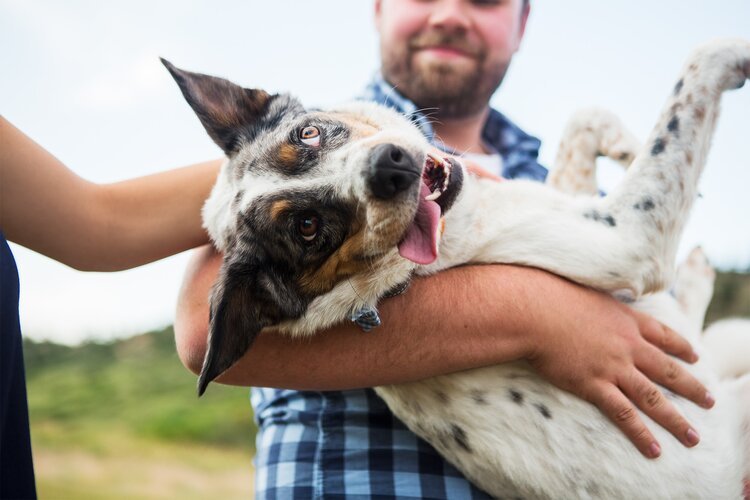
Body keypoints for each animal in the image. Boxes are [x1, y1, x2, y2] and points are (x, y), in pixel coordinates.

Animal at [163, 40, 750, 500]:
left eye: (307, 134)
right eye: (307, 227)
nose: (392, 166)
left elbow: (583, 119)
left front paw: (623, 142)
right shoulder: (624, 236)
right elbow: (697, 69)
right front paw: (735, 54)